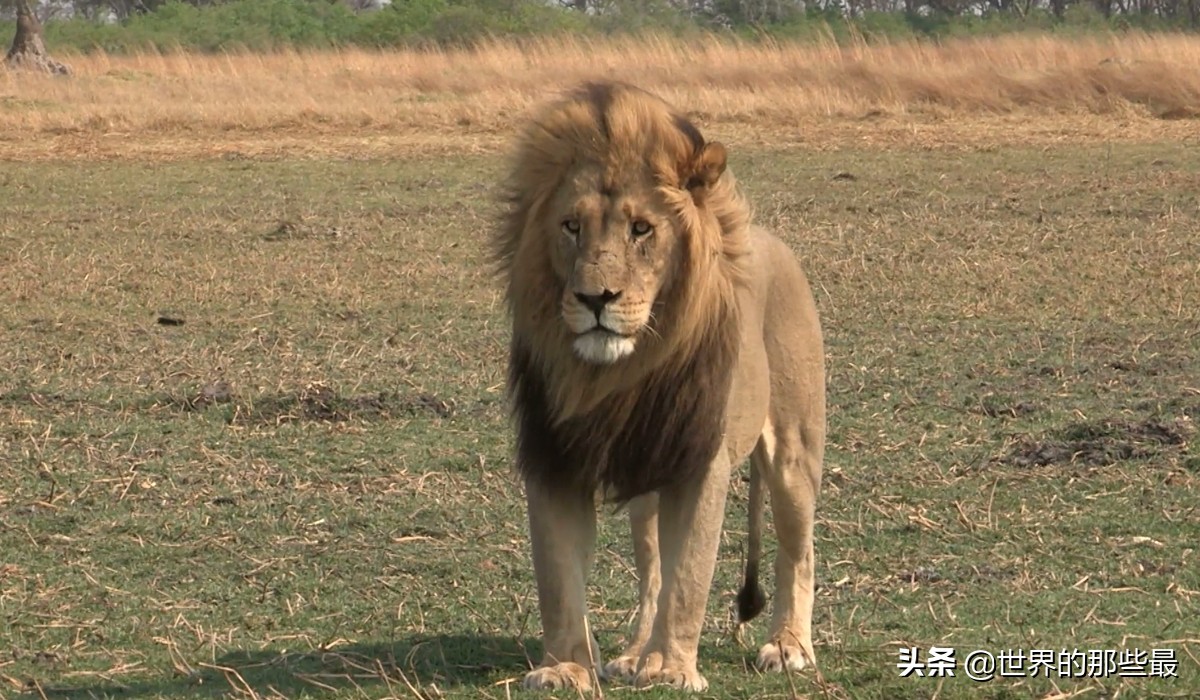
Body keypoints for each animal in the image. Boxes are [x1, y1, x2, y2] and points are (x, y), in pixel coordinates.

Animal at [494, 81, 825, 691]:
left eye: (641, 228)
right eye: (571, 226)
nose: (594, 298)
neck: (617, 378)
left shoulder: (698, 462)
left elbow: (689, 575)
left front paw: (672, 669)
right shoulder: (554, 459)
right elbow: (558, 578)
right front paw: (565, 667)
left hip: (794, 448)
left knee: (797, 549)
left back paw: (789, 647)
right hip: (646, 483)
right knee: (651, 573)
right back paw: (634, 655)